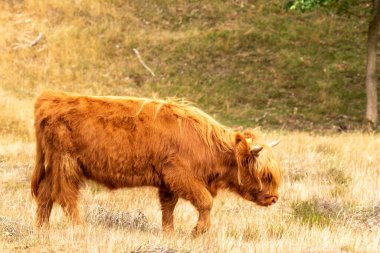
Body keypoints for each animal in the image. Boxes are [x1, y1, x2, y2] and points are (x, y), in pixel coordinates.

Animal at [30, 91, 282, 235]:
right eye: (266, 175)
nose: (274, 198)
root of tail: (51, 99)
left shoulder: (167, 182)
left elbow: (168, 208)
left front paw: (169, 233)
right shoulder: (179, 175)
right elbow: (205, 201)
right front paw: (198, 231)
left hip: (54, 165)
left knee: (45, 195)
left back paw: (42, 229)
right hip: (66, 164)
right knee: (65, 195)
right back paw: (81, 228)